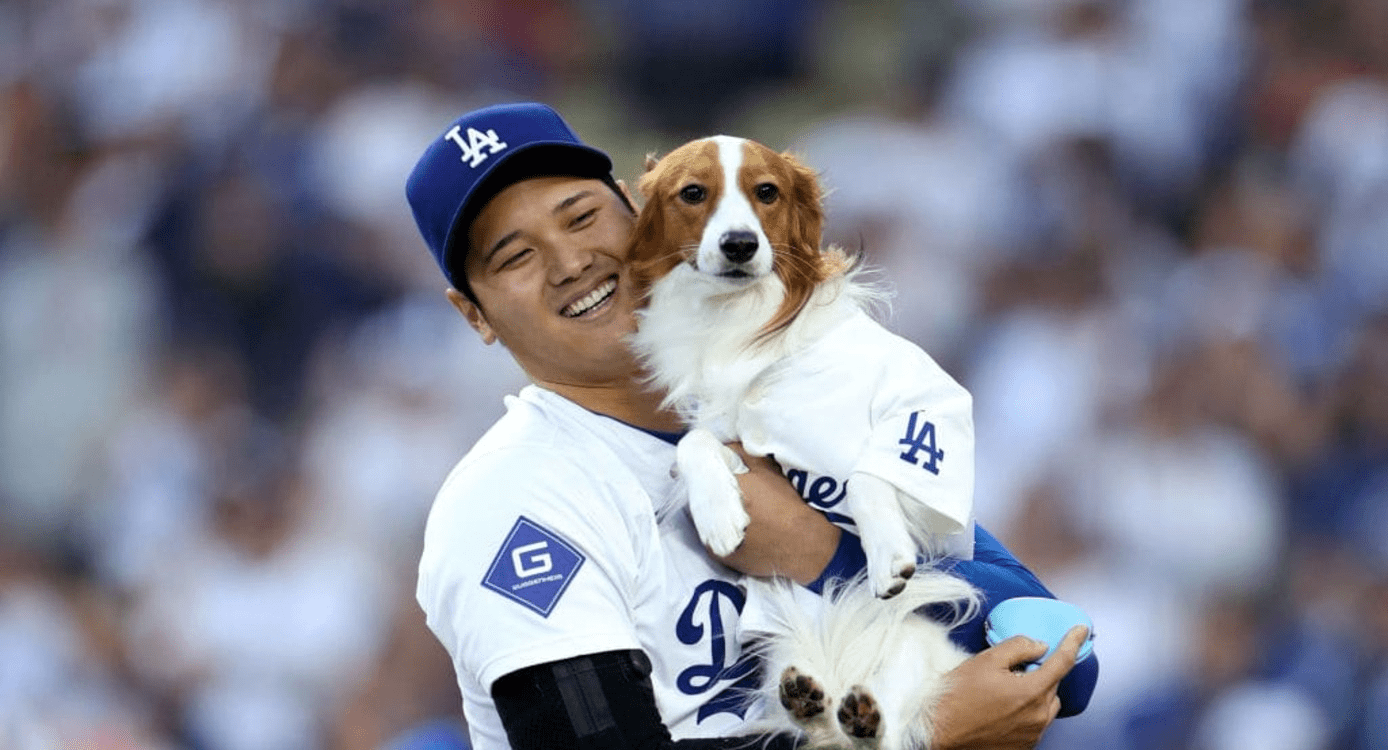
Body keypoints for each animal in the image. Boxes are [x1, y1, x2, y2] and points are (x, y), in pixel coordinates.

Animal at [624, 136, 982, 750]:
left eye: (767, 191)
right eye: (692, 193)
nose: (740, 244)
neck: (742, 324)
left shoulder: (926, 410)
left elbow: (867, 475)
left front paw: (888, 556)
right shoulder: (733, 434)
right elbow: (693, 444)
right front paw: (719, 514)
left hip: (910, 651)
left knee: (885, 727)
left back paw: (862, 716)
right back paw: (812, 702)